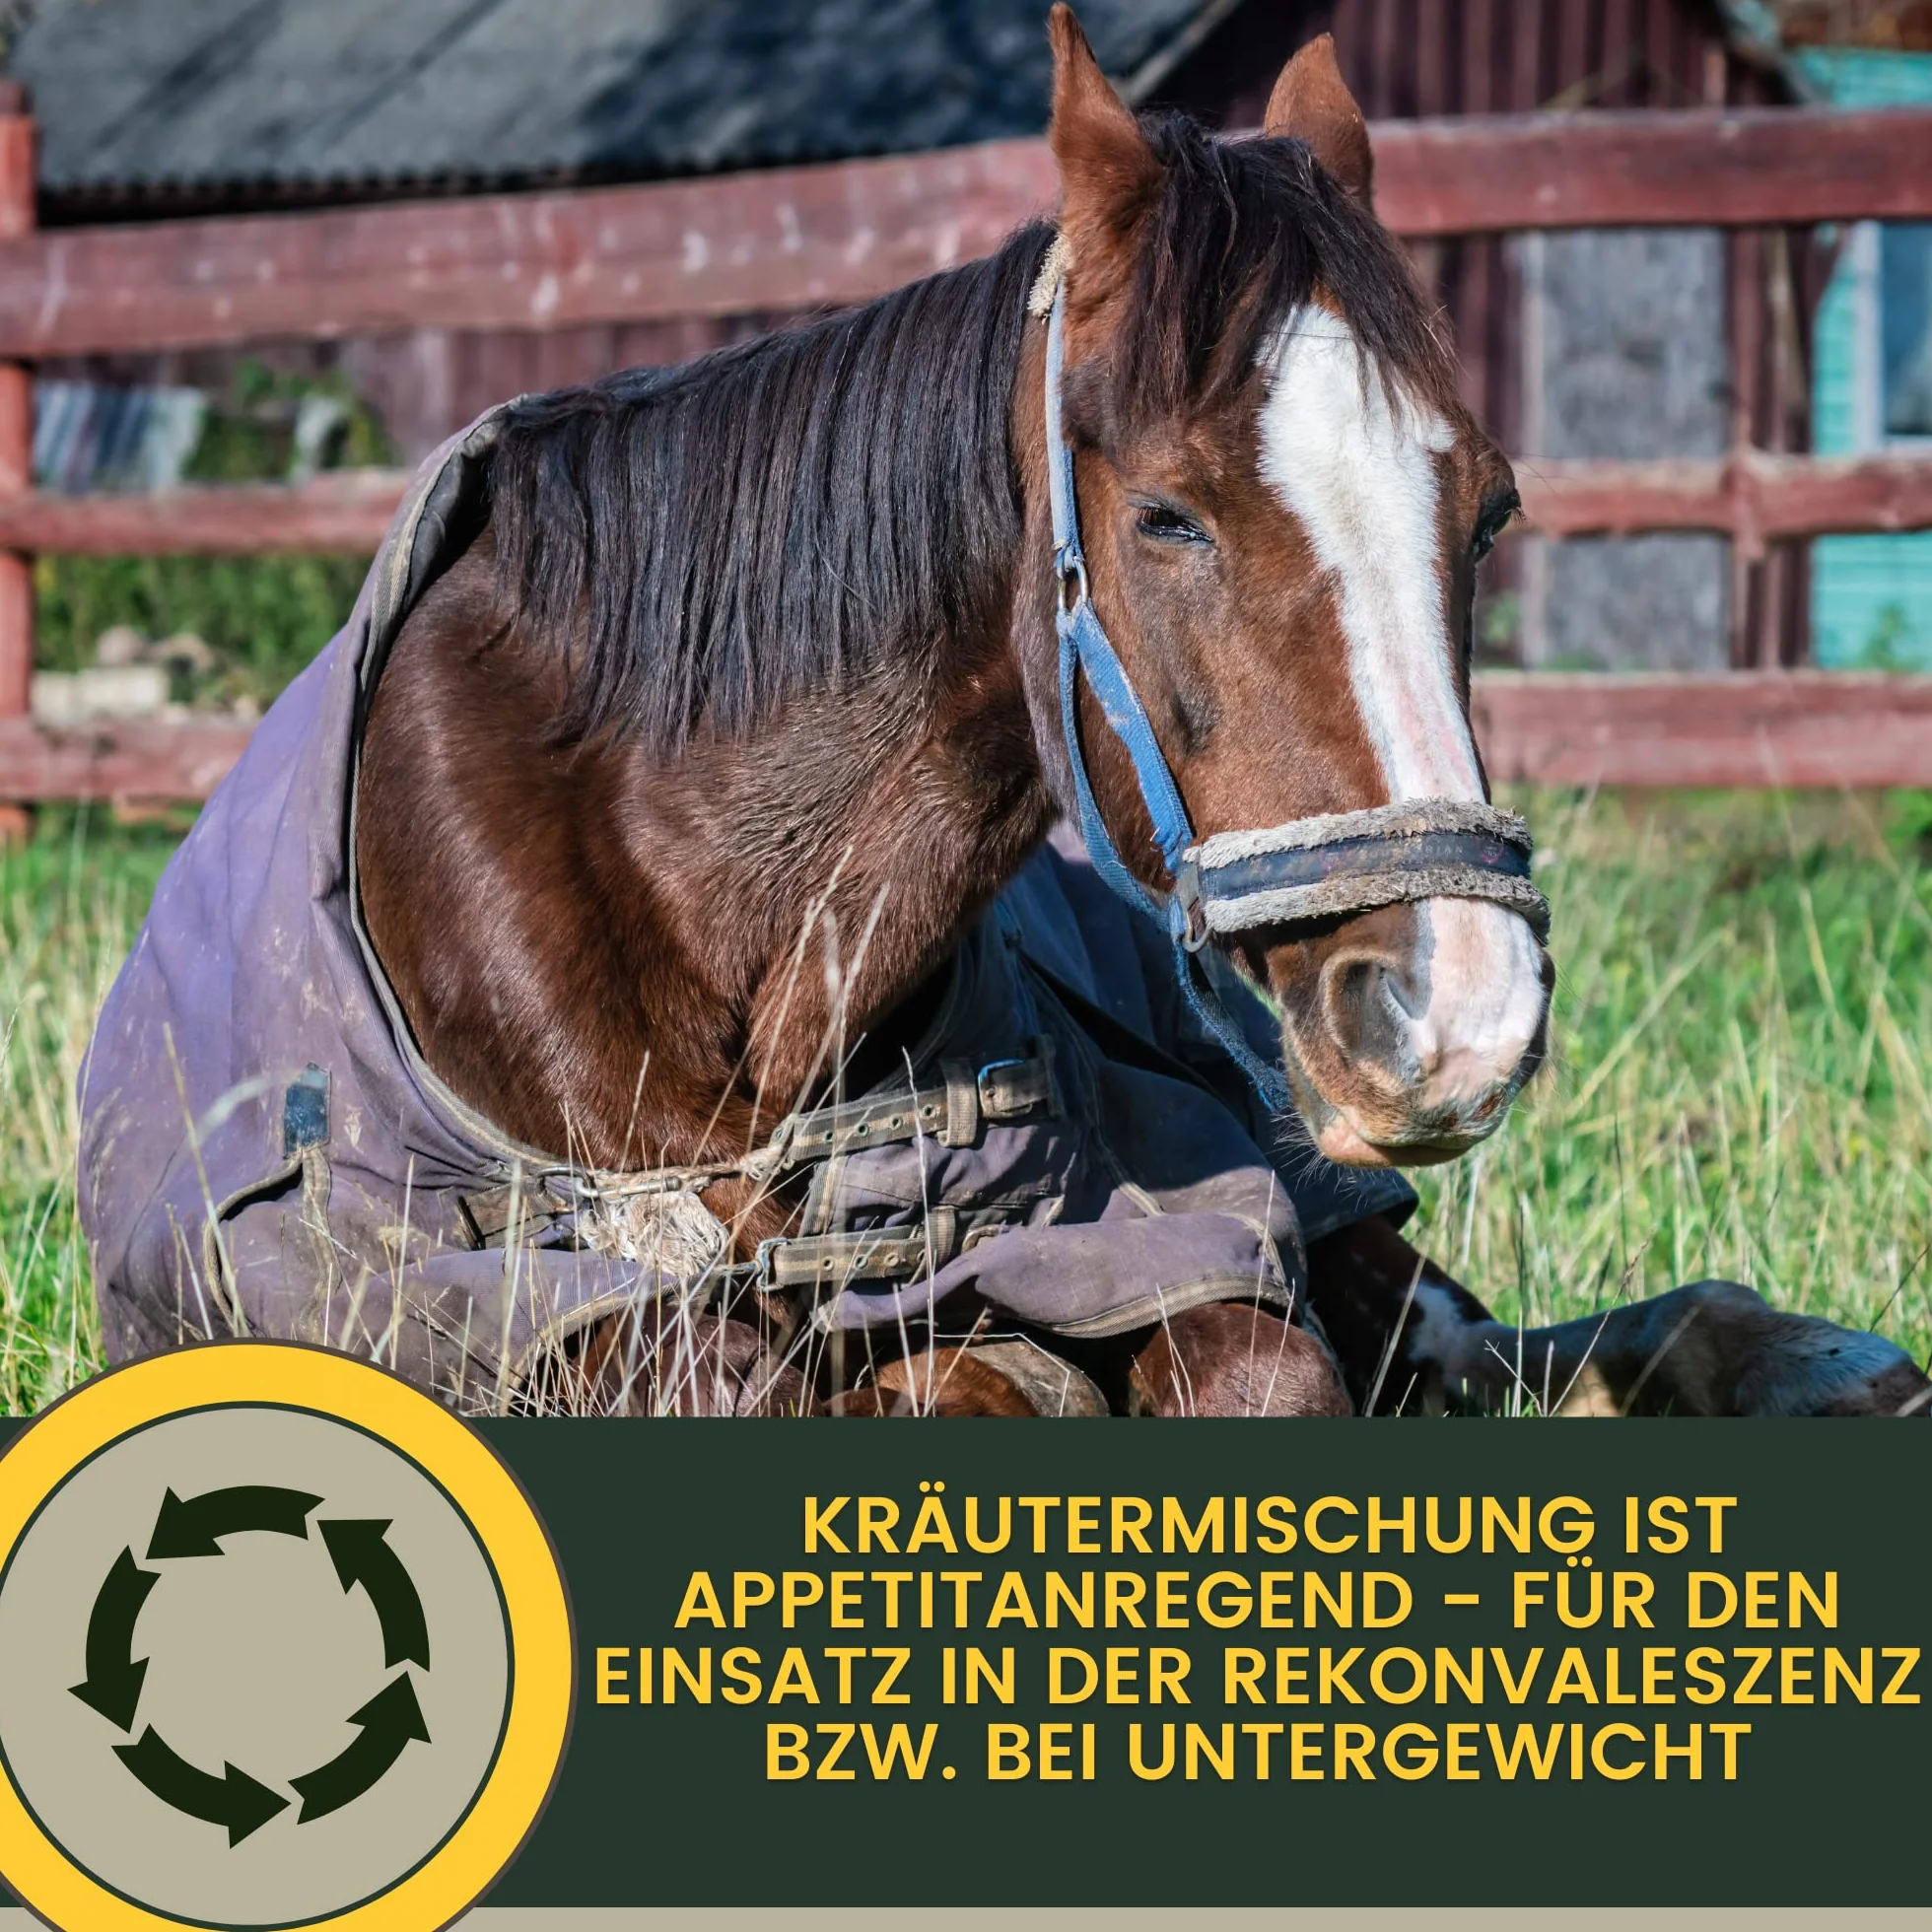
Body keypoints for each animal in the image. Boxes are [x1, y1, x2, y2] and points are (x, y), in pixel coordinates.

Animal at [82, 10, 1928, 1420]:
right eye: (1169, 517)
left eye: (1487, 513)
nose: (1452, 1012)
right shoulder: (560, 1324)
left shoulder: (1190, 1224)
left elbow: (1257, 1367)